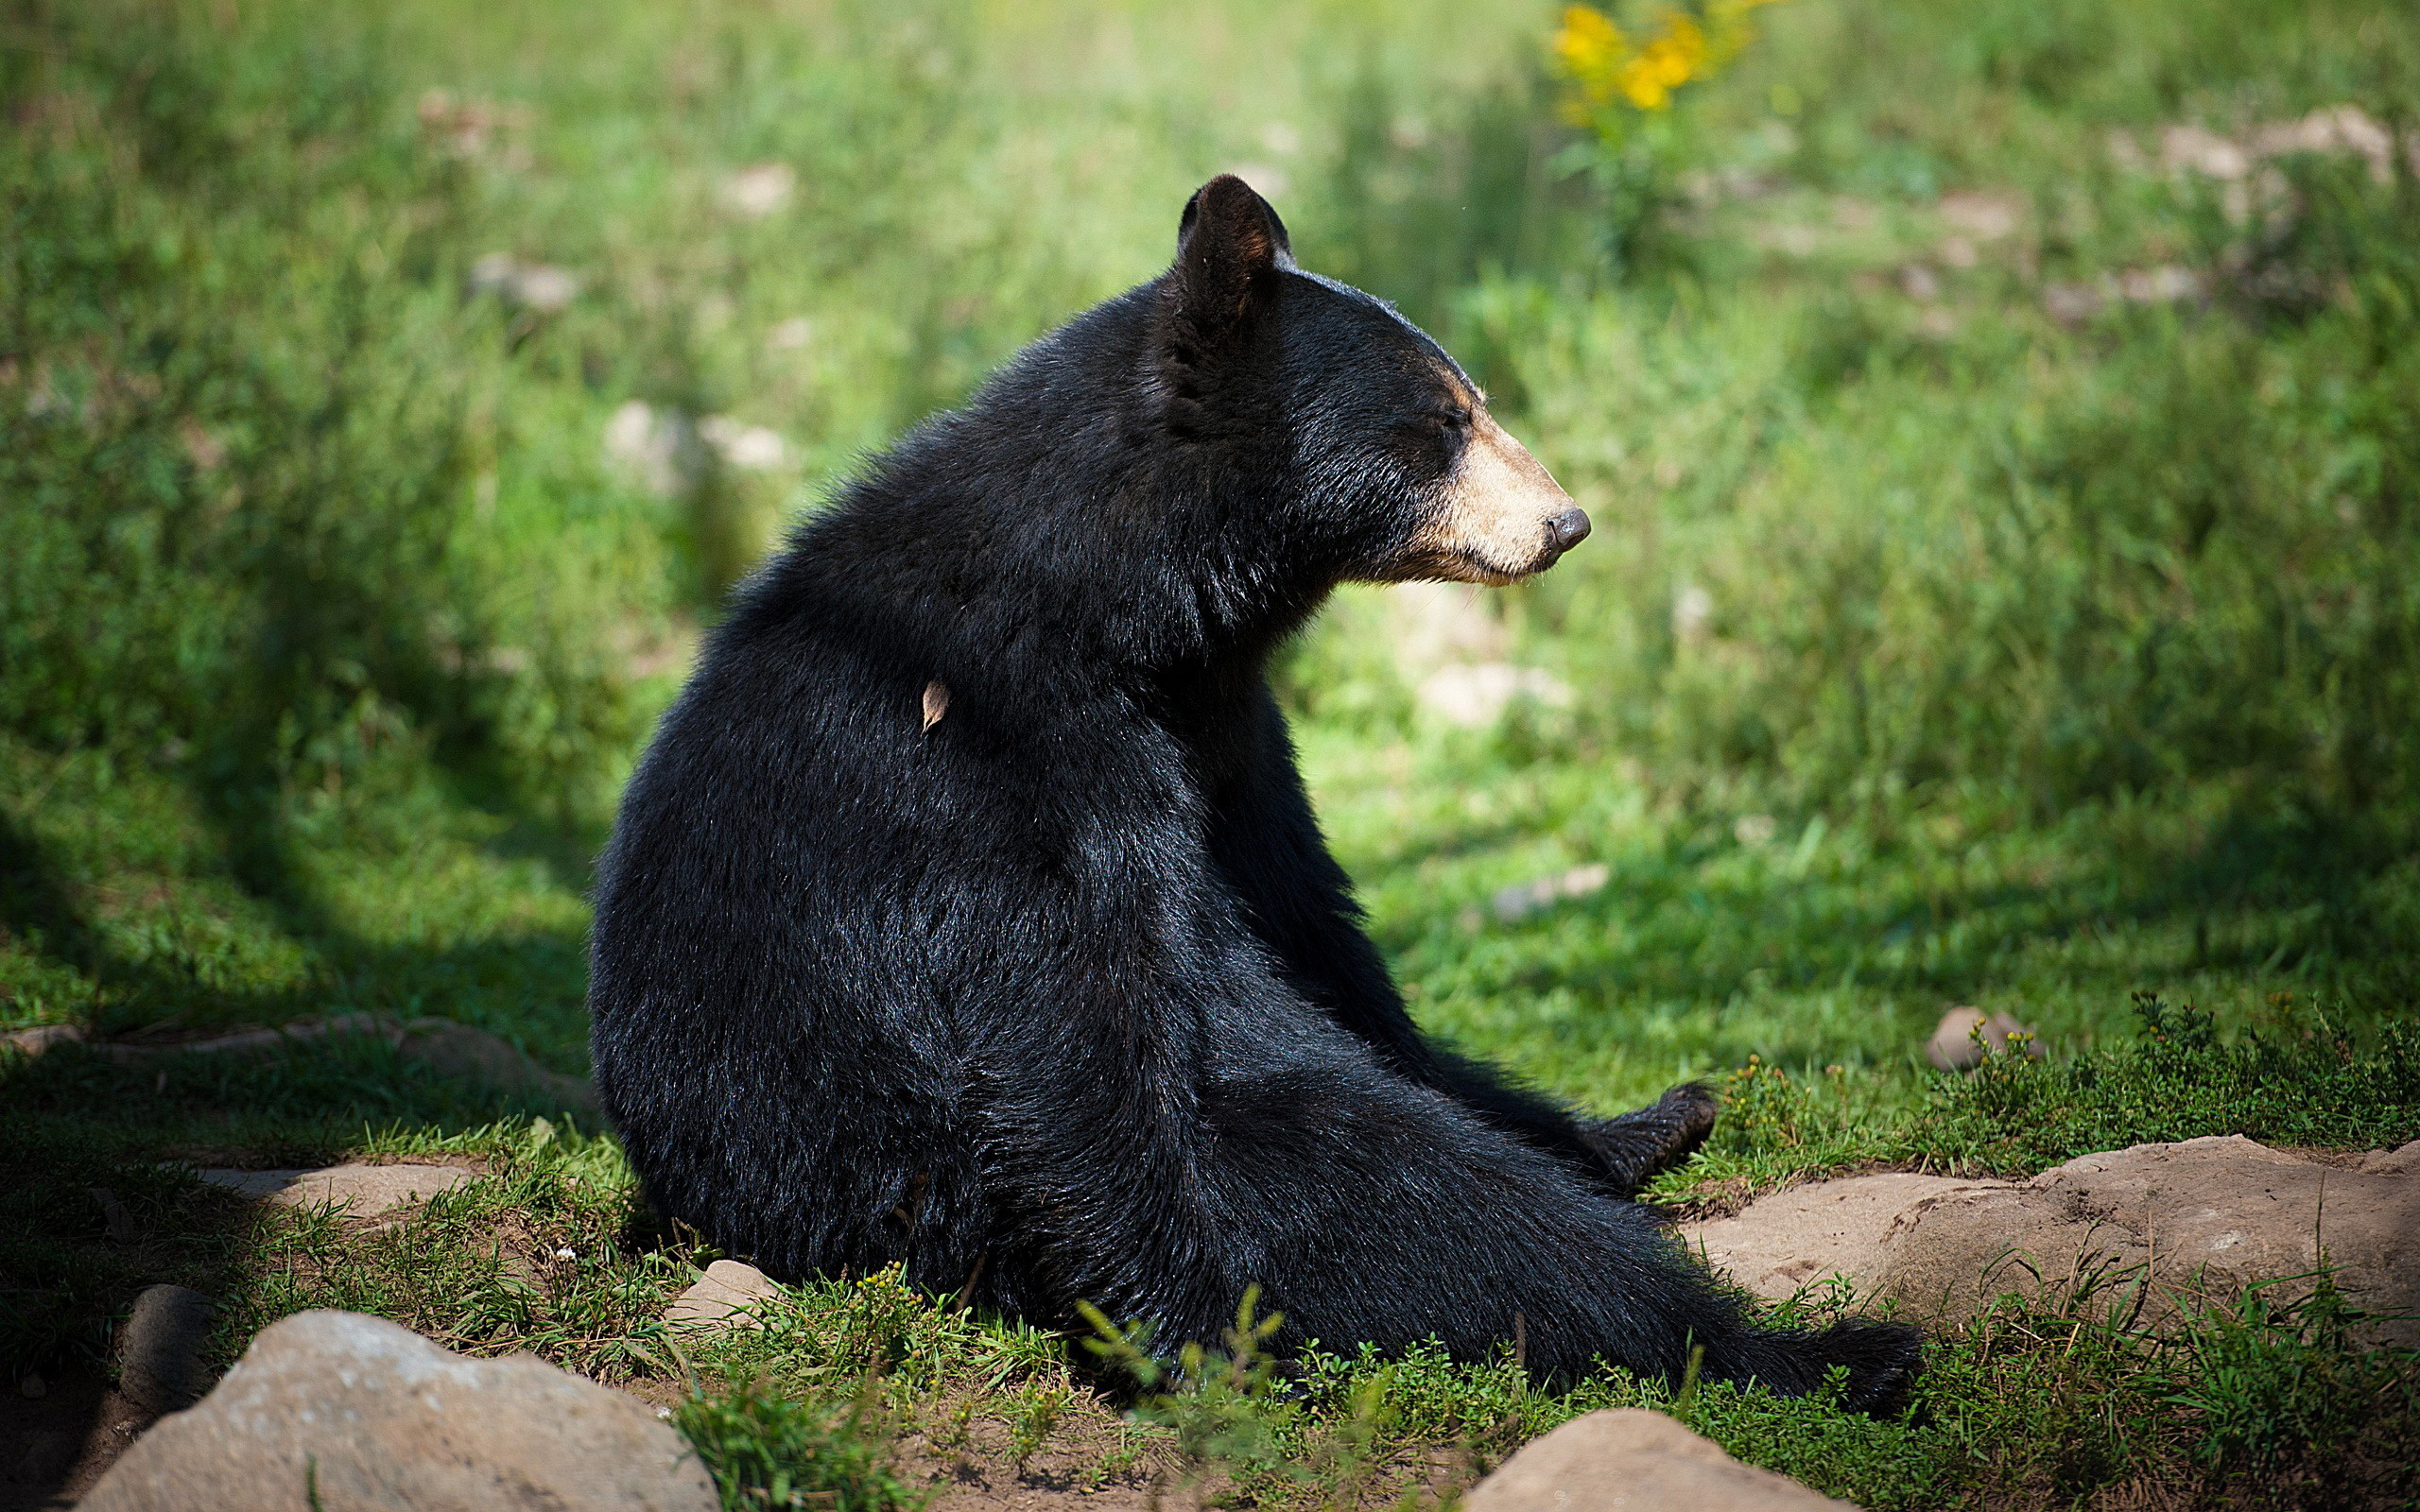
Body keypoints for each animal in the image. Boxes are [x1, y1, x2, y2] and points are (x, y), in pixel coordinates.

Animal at [595, 174, 1916, 1402]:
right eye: (1443, 419)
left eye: (1475, 400)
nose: (1565, 521)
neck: (1128, 609)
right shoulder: (997, 758)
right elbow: (1069, 1033)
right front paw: (1200, 1341)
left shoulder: (1226, 734)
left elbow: (1313, 929)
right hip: (919, 1188)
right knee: (1425, 1200)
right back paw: (1823, 1350)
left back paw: (1650, 1124)